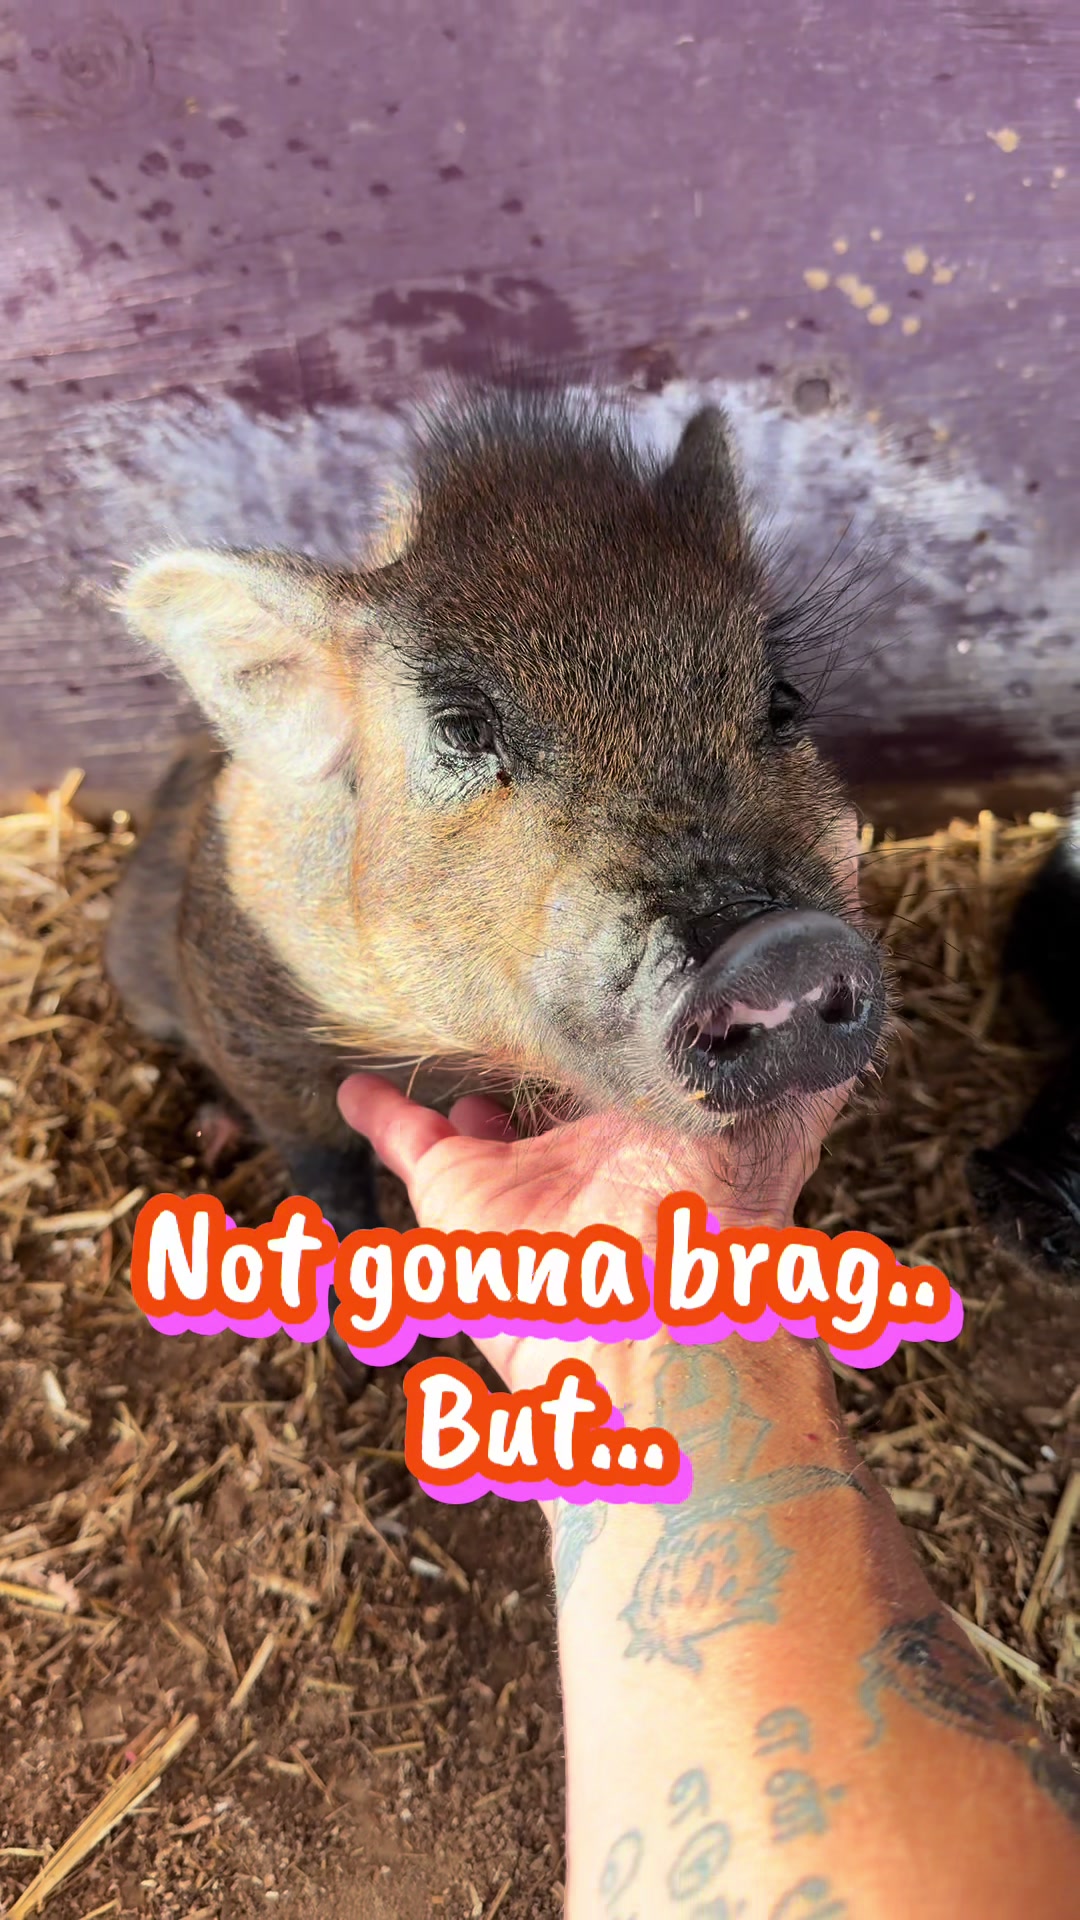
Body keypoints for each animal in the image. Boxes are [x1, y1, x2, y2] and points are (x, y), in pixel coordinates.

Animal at [106, 384, 886, 1370]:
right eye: (462, 729)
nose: (773, 941)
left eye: (782, 701)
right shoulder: (246, 1010)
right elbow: (322, 1169)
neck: (459, 1057)